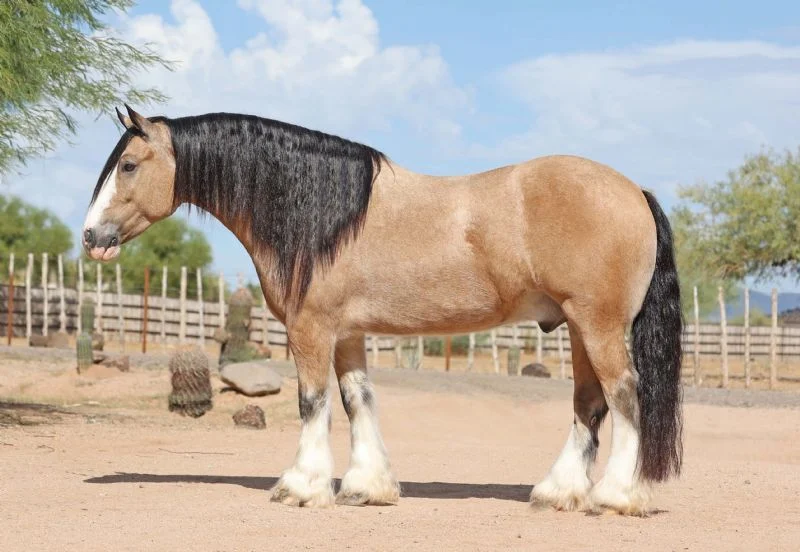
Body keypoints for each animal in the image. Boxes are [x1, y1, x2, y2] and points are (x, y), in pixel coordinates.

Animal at [82, 105, 683, 515]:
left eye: (129, 165)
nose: (91, 237)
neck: (323, 216)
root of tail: (634, 191)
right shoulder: (347, 333)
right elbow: (357, 401)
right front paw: (366, 487)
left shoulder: (311, 329)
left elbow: (312, 402)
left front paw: (301, 486)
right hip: (580, 328)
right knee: (589, 404)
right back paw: (557, 492)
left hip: (598, 325)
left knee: (625, 395)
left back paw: (616, 495)